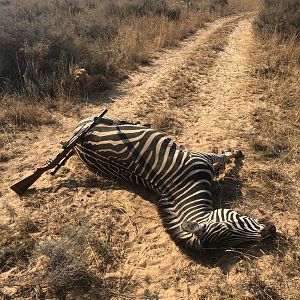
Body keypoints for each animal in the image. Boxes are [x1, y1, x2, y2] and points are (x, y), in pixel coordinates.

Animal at [74, 115, 276, 251]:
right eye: (230, 236)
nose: (271, 230)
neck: (186, 185)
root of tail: (76, 136)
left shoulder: (201, 157)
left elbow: (222, 159)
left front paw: (232, 156)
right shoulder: (201, 157)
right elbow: (223, 158)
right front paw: (233, 154)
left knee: (118, 120)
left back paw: (141, 122)